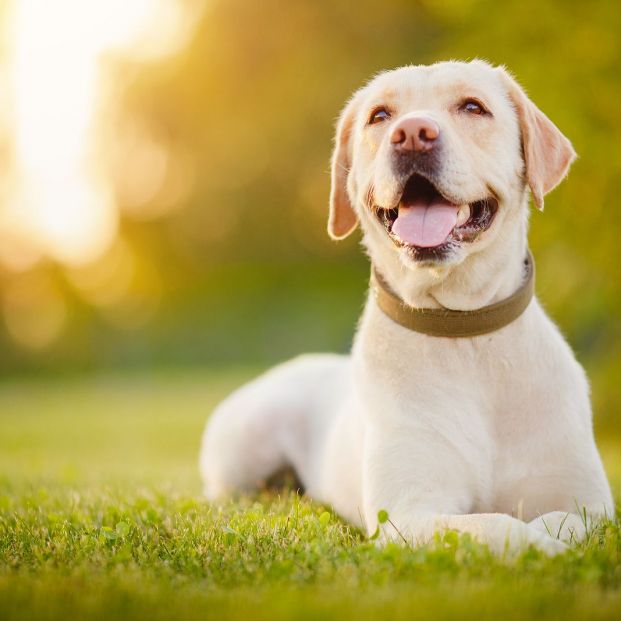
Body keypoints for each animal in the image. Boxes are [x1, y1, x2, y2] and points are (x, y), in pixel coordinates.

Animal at [199, 59, 612, 552]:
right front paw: (544, 549)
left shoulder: (589, 502)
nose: (412, 133)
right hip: (240, 449)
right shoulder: (407, 514)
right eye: (379, 116)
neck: (463, 329)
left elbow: (564, 522)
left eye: (473, 107)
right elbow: (498, 525)